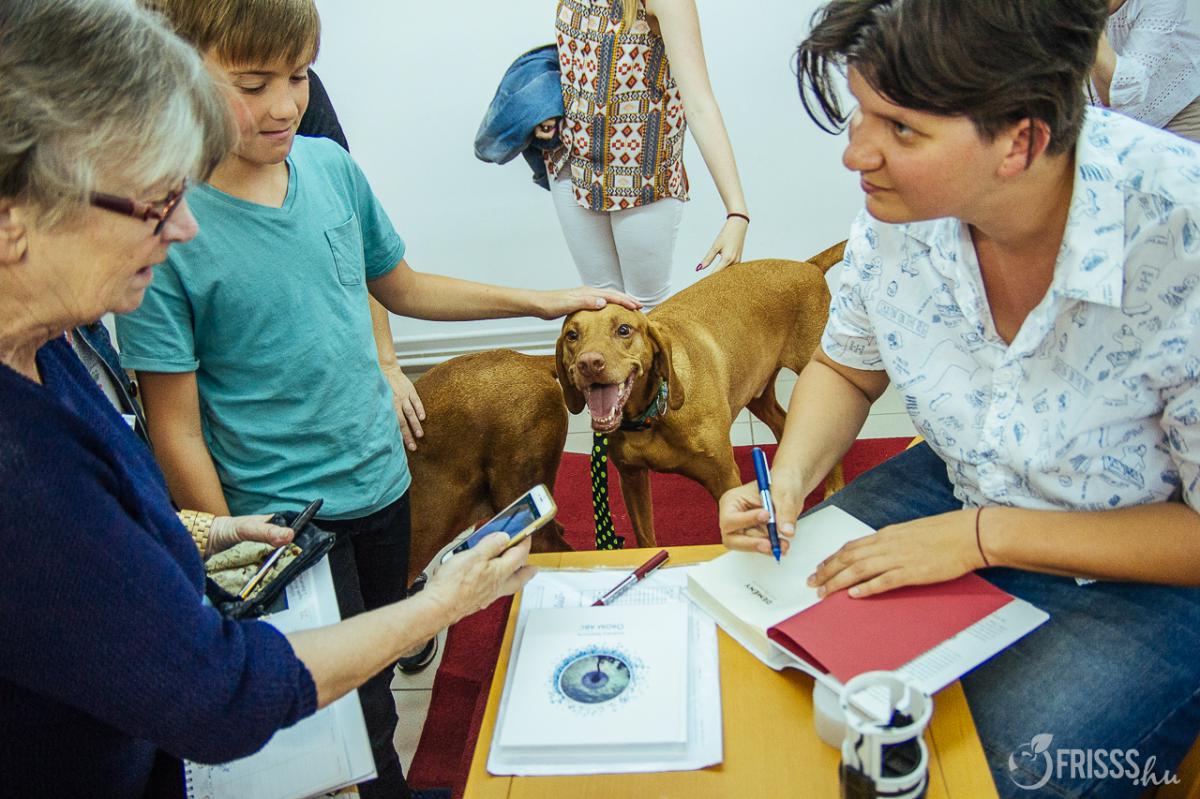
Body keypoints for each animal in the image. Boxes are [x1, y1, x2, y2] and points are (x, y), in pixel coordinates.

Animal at [555, 245, 845, 548]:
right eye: (572, 335)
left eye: (623, 330)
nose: (589, 363)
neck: (652, 415)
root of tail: (808, 266)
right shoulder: (631, 478)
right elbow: (646, 537)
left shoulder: (724, 478)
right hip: (755, 388)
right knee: (782, 422)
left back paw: (833, 487)